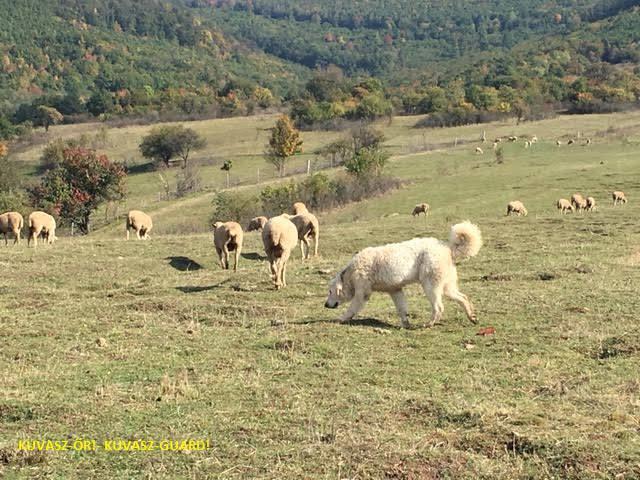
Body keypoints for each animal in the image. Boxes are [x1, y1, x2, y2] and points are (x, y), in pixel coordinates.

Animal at [328, 220, 482, 326]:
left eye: (330, 291)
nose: (325, 305)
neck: (350, 274)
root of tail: (447, 248)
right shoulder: (395, 291)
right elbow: (402, 309)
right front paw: (405, 324)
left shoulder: (362, 293)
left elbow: (352, 308)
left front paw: (341, 318)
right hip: (447, 287)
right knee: (463, 298)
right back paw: (472, 317)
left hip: (431, 286)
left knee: (439, 307)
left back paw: (429, 324)